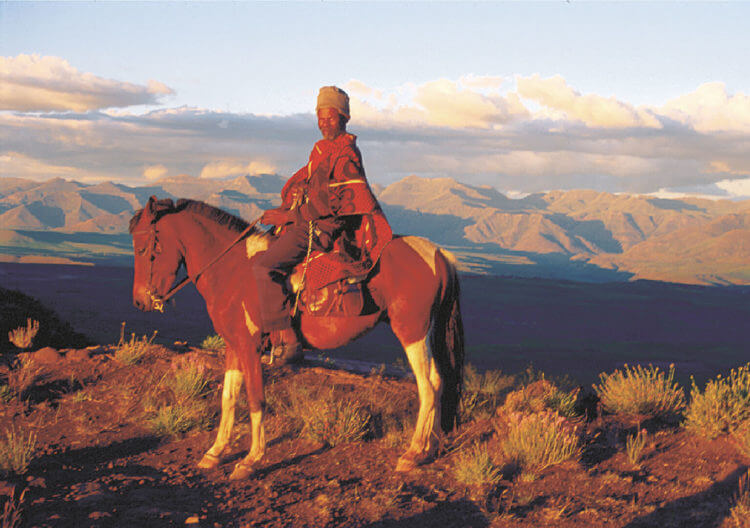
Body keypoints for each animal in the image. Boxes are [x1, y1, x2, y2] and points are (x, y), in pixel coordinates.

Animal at [129, 196, 464, 480]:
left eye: (144, 247)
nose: (140, 302)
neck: (232, 270)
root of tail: (438, 254)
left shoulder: (250, 347)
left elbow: (256, 400)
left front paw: (251, 460)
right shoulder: (233, 346)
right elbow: (228, 398)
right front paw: (214, 453)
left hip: (411, 330)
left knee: (428, 385)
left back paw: (413, 453)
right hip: (426, 331)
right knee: (439, 381)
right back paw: (430, 447)